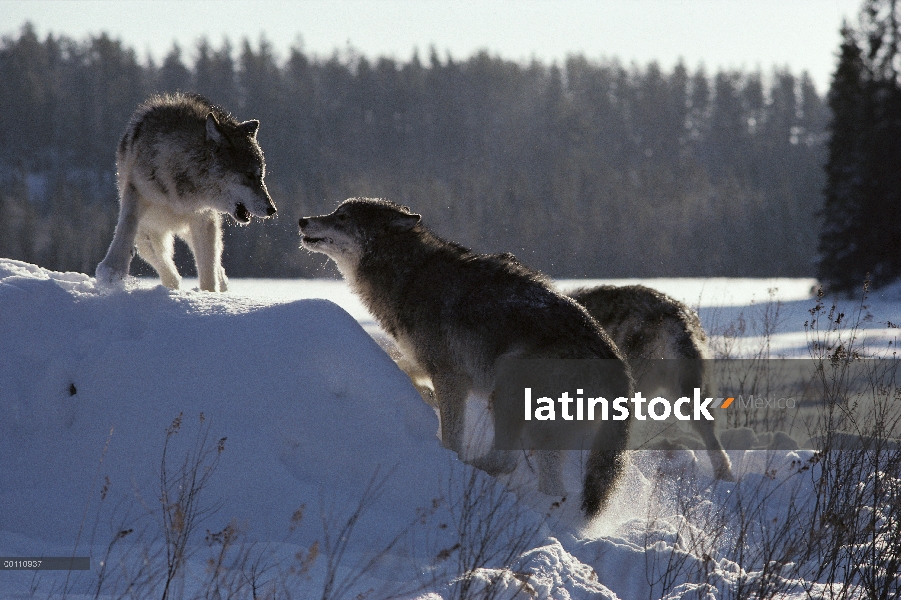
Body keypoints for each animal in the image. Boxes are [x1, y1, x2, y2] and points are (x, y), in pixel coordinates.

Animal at [94, 92, 278, 292]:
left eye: (261, 176)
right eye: (250, 175)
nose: (272, 210)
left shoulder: (204, 219)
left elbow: (208, 271)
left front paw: (207, 296)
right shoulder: (137, 201)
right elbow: (126, 230)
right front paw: (111, 274)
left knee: (216, 266)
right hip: (150, 234)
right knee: (168, 269)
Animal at [300, 199, 632, 516]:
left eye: (342, 217)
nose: (302, 220)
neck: (409, 273)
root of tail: (616, 364)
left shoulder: (450, 376)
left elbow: (452, 436)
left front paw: (448, 456)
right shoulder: (427, 366)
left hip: (506, 390)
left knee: (505, 461)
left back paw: (472, 471)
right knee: (550, 487)